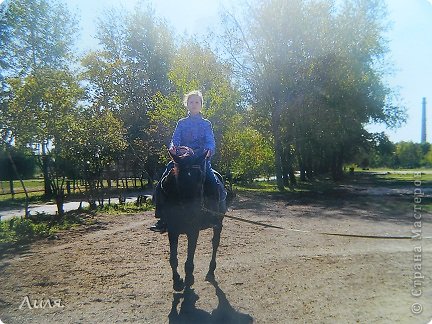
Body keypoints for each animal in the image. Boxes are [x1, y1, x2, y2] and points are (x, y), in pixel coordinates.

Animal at [159, 147, 224, 292]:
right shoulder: (172, 230)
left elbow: (189, 259)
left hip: (218, 223)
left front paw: (189, 279)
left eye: (201, 178)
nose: (193, 211)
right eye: (178, 179)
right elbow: (173, 259)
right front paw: (177, 281)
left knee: (215, 243)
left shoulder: (193, 230)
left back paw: (211, 271)